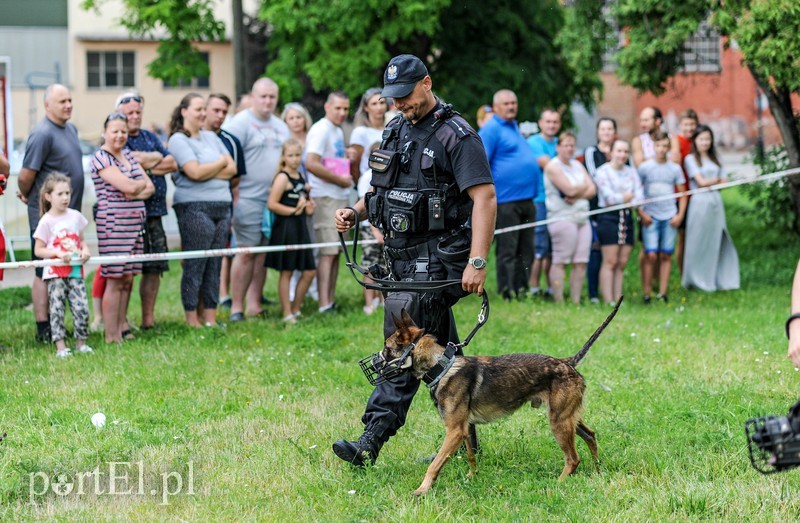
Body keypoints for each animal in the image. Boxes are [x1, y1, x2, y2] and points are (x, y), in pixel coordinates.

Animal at [382, 298, 624, 496]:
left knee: (573, 458)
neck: (441, 366)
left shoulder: (454, 431)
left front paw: (422, 489)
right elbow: (471, 456)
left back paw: (560, 482)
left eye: (387, 349)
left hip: (559, 422)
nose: (374, 364)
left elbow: (434, 465)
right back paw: (597, 469)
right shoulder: (465, 428)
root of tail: (568, 362)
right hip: (567, 417)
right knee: (591, 435)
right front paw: (472, 477)